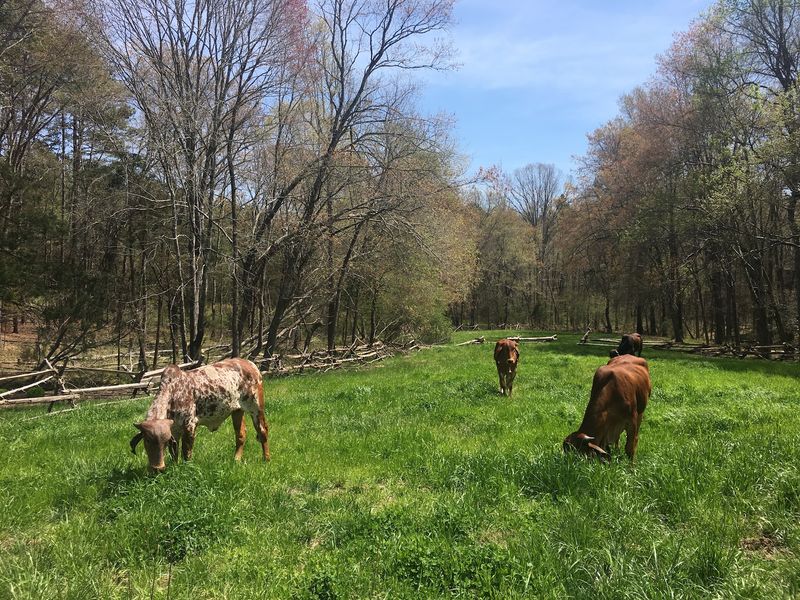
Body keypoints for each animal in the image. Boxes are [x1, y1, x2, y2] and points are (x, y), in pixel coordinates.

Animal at [130, 358, 270, 472]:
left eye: (164, 442)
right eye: (147, 440)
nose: (158, 468)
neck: (172, 392)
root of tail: (250, 364)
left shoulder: (190, 426)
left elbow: (186, 452)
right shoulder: (174, 431)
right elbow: (174, 452)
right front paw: (174, 466)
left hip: (256, 408)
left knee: (263, 431)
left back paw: (266, 459)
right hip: (237, 411)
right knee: (240, 435)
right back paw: (236, 459)